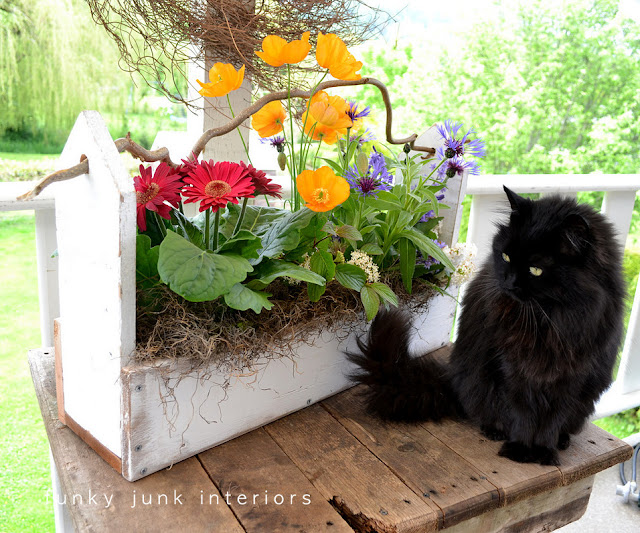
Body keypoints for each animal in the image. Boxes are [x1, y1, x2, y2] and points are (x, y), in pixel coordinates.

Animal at [350, 187, 624, 466]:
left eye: (536, 270)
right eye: (506, 256)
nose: (509, 283)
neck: (548, 320)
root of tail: (451, 380)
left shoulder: (572, 378)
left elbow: (551, 422)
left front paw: (544, 451)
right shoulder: (511, 369)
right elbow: (522, 415)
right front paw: (520, 449)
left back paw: (562, 441)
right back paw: (494, 431)